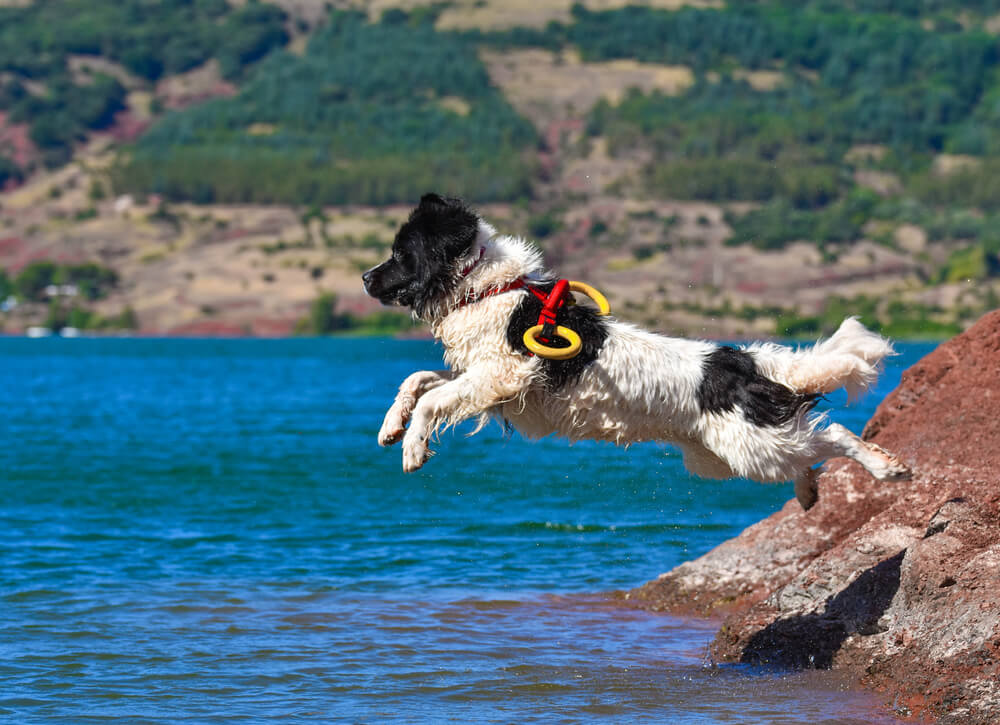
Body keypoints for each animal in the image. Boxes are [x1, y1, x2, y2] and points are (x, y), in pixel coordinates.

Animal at [364, 192, 912, 510]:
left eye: (400, 255)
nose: (365, 277)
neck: (485, 290)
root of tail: (742, 361)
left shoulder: (502, 375)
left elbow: (432, 399)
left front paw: (414, 448)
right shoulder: (484, 381)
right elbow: (417, 381)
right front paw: (391, 427)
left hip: (752, 448)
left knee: (833, 434)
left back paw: (886, 466)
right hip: (721, 458)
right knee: (806, 454)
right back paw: (809, 491)